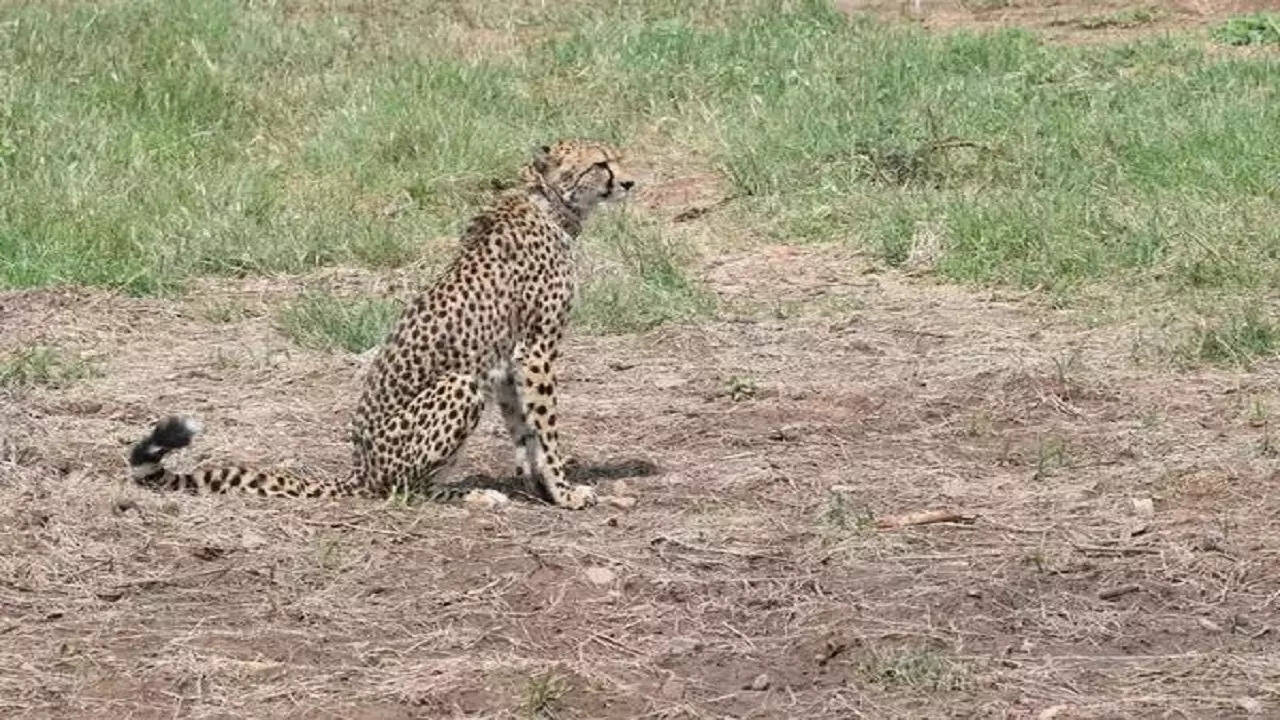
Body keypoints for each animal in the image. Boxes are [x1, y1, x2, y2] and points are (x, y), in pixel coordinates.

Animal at [124, 140, 634, 507]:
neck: (549, 205)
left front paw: (541, 489)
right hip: (459, 384)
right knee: (403, 489)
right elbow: (545, 429)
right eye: (601, 163)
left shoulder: (508, 362)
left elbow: (524, 431)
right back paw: (472, 494)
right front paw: (565, 493)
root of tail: (359, 470)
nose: (629, 182)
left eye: (616, 157)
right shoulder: (536, 350)